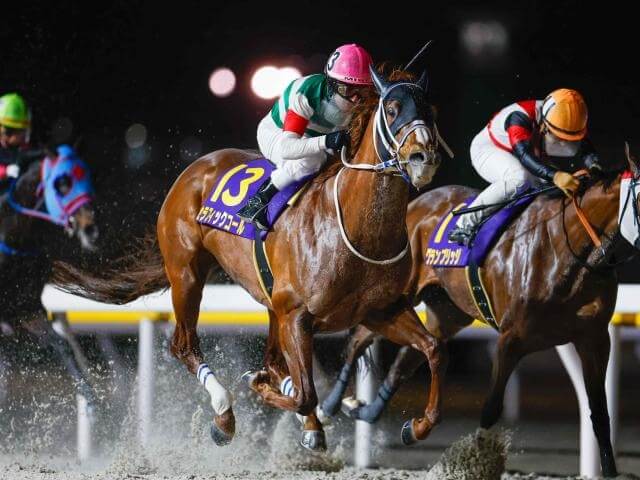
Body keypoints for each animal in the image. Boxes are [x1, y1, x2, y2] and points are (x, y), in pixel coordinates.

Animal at [0, 145, 100, 409]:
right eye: (62, 182)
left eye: (88, 177)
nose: (90, 229)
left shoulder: (26, 309)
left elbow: (60, 343)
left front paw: (94, 398)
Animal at [51, 66, 451, 450]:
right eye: (393, 108)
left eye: (431, 111)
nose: (422, 157)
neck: (357, 230)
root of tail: (197, 166)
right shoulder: (297, 315)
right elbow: (304, 394)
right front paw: (262, 389)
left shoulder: (379, 311)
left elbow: (432, 349)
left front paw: (417, 426)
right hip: (187, 274)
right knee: (184, 345)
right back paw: (224, 415)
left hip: (270, 304)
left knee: (275, 362)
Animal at [319, 148, 640, 477]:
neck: (568, 251)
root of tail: (415, 204)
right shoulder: (511, 339)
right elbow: (491, 407)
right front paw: (474, 459)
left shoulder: (594, 339)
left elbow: (599, 411)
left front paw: (610, 470)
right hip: (395, 297)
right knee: (359, 339)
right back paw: (329, 406)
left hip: (446, 312)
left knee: (408, 359)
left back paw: (372, 412)